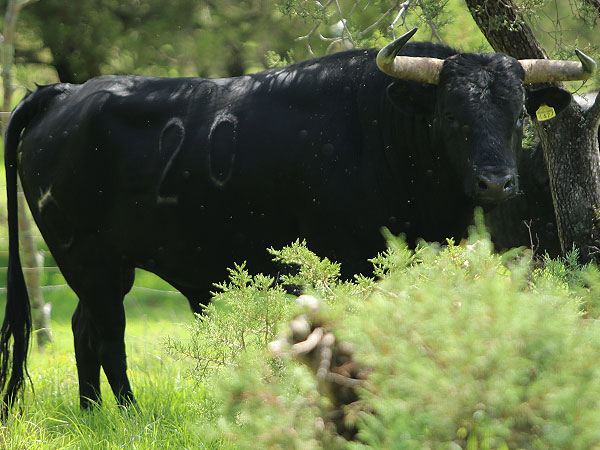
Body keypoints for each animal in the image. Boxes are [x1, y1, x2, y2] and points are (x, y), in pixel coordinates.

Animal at [1, 28, 595, 414]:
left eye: (517, 114)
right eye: (451, 115)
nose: (497, 183)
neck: (379, 127)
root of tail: (68, 93)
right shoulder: (349, 265)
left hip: (99, 269)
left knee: (83, 330)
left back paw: (94, 414)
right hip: (91, 262)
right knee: (107, 336)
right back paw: (127, 413)